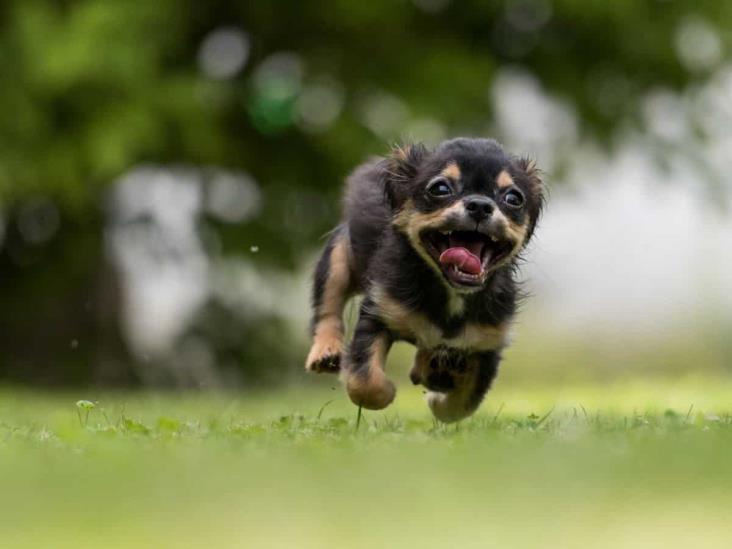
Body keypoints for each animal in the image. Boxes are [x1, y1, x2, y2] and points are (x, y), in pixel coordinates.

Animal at [304, 139, 544, 422]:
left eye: (513, 198)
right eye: (440, 188)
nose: (480, 205)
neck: (451, 292)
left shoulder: (487, 344)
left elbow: (461, 406)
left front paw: (438, 399)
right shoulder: (378, 313)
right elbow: (365, 382)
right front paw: (387, 392)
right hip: (339, 258)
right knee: (328, 306)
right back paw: (326, 351)